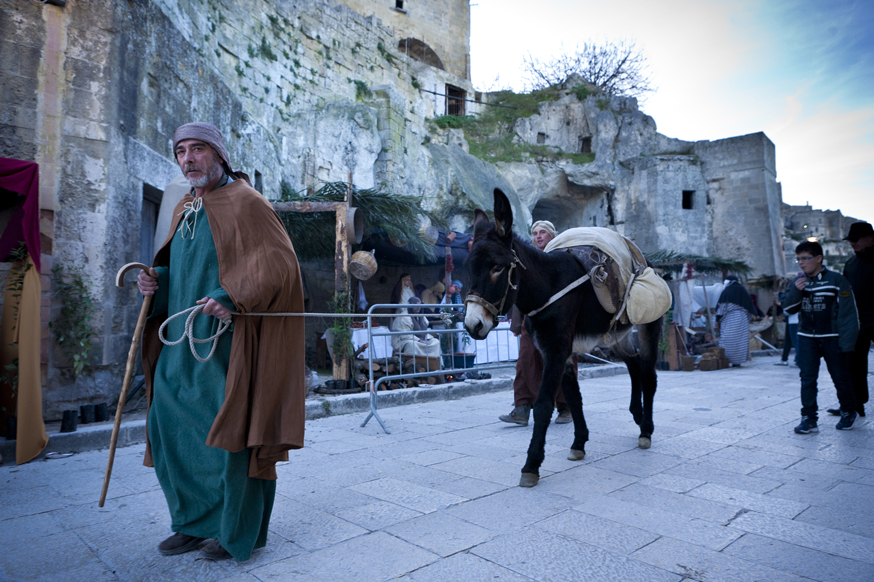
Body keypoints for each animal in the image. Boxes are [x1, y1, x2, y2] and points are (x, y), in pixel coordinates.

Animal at [464, 189, 663, 487]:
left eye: (497, 267)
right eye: (467, 267)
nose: (472, 324)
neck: (549, 286)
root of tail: (646, 260)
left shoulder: (557, 350)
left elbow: (544, 405)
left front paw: (531, 466)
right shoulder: (559, 351)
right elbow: (573, 396)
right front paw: (579, 444)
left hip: (649, 324)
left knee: (649, 374)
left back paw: (646, 431)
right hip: (616, 334)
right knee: (634, 364)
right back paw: (638, 416)